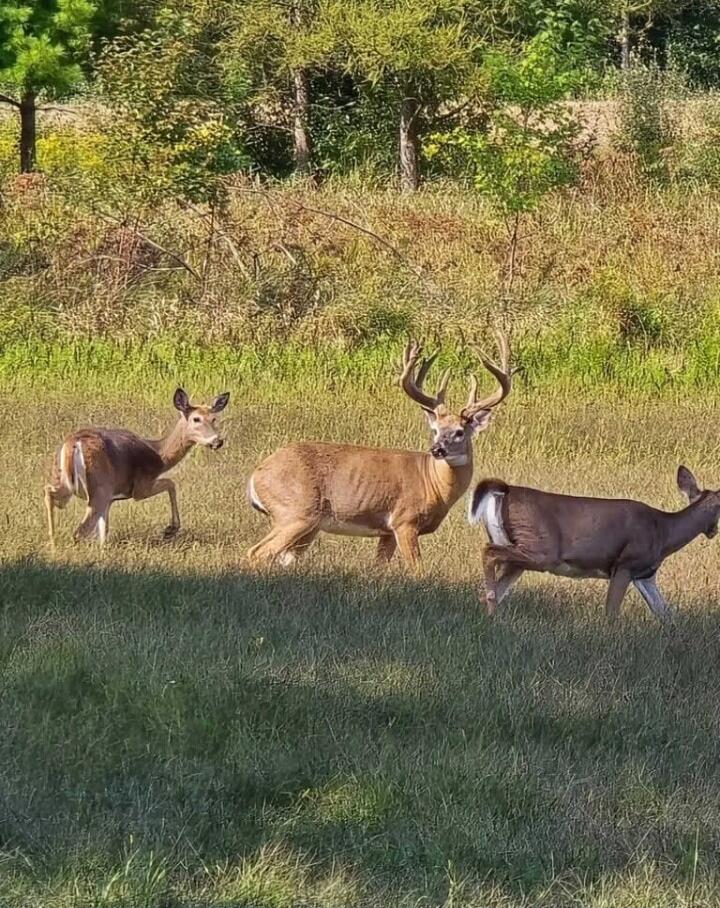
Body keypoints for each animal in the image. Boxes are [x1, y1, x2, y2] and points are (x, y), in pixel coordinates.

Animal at [45, 388, 230, 546]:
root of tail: (74, 444)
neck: (160, 455)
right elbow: (171, 483)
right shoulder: (141, 486)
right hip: (99, 487)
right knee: (79, 531)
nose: (217, 441)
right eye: (196, 418)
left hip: (66, 482)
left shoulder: (111, 499)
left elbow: (103, 532)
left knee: (50, 493)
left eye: (214, 418)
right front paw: (170, 529)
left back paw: (53, 543)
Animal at [247, 336, 511, 567]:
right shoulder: (405, 521)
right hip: (296, 512)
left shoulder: (387, 532)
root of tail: (255, 476)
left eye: (459, 432)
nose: (437, 449)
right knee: (257, 552)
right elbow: (418, 569)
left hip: (307, 525)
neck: (432, 483)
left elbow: (379, 567)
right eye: (435, 430)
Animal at [468, 466, 720, 620]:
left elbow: (666, 614)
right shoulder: (625, 564)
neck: (664, 532)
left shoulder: (645, 575)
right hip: (541, 549)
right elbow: (611, 613)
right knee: (488, 552)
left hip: (519, 555)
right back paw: (491, 603)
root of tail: (505, 490)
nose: (713, 532)